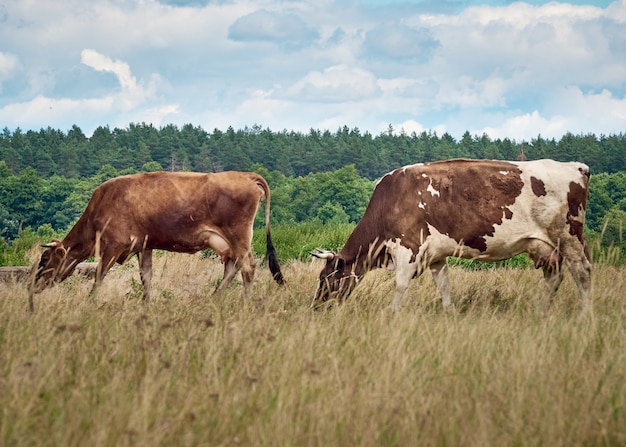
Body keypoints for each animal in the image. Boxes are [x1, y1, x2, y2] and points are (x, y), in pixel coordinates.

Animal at [29, 171, 282, 312]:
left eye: (44, 259)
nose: (33, 285)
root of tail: (245, 175)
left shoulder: (114, 245)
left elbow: (99, 276)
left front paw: (90, 302)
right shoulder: (145, 246)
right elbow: (146, 276)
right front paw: (148, 303)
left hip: (238, 236)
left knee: (248, 266)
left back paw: (244, 303)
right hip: (226, 243)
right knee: (232, 267)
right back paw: (212, 299)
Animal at [310, 159, 588, 314]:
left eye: (325, 278)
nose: (316, 307)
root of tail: (576, 167)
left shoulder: (408, 247)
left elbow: (400, 284)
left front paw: (391, 313)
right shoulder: (435, 256)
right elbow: (443, 285)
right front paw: (449, 313)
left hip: (569, 237)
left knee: (583, 273)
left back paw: (584, 315)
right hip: (544, 246)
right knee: (553, 277)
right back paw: (541, 311)